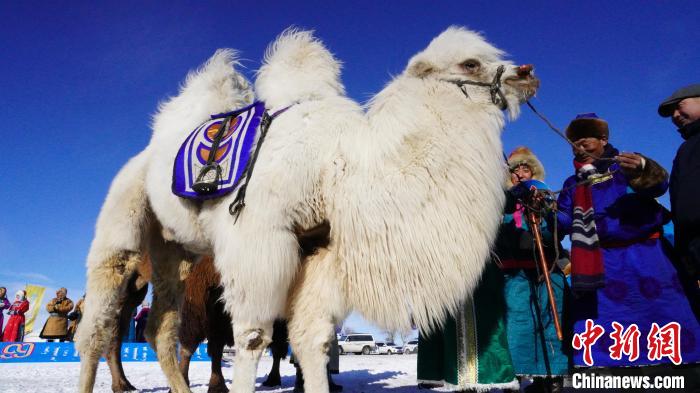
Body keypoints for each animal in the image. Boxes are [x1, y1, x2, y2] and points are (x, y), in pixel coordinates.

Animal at [75, 27, 536, 392]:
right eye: (471, 63)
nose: (527, 74)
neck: (337, 170)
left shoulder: (319, 251)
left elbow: (313, 341)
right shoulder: (257, 238)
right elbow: (253, 337)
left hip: (176, 255)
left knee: (160, 329)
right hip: (121, 230)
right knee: (97, 329)